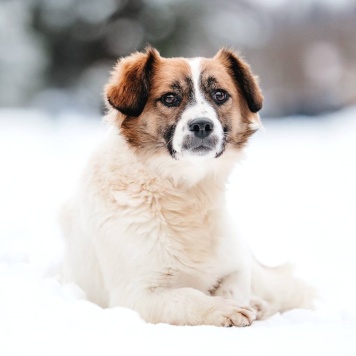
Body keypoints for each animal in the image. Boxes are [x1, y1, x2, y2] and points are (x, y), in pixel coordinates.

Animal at [61, 47, 314, 326]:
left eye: (220, 95)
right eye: (170, 98)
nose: (202, 125)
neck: (185, 188)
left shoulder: (238, 263)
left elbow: (235, 286)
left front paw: (238, 303)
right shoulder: (136, 296)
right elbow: (188, 296)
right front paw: (223, 309)